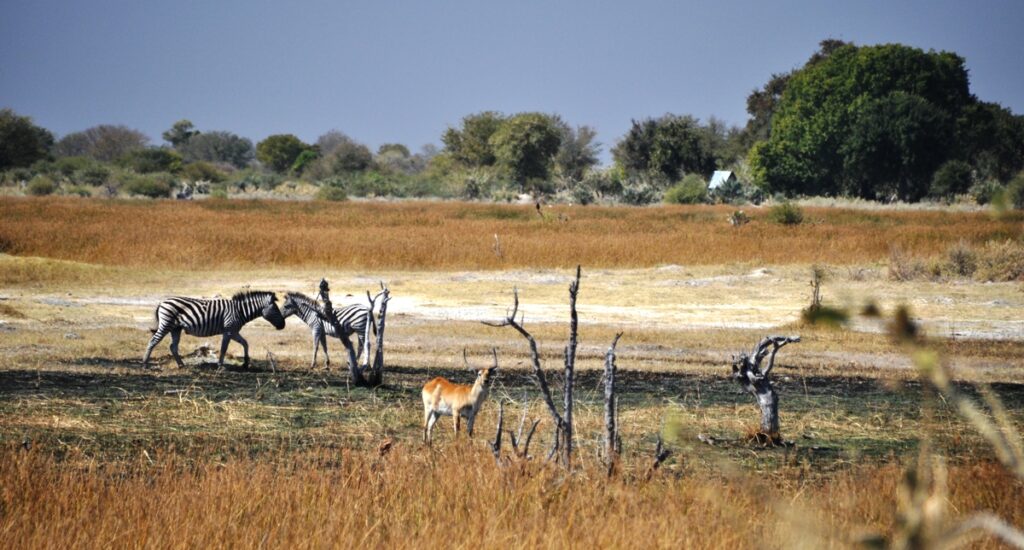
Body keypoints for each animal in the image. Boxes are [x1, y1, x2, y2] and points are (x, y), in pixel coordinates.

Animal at [140, 286, 284, 368]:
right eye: (276, 310)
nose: (283, 325)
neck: (240, 311)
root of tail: (162, 302)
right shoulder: (228, 331)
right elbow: (224, 348)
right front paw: (220, 365)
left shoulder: (234, 331)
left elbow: (245, 343)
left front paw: (246, 363)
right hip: (166, 324)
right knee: (153, 341)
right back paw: (145, 364)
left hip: (176, 328)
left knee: (173, 346)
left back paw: (181, 365)